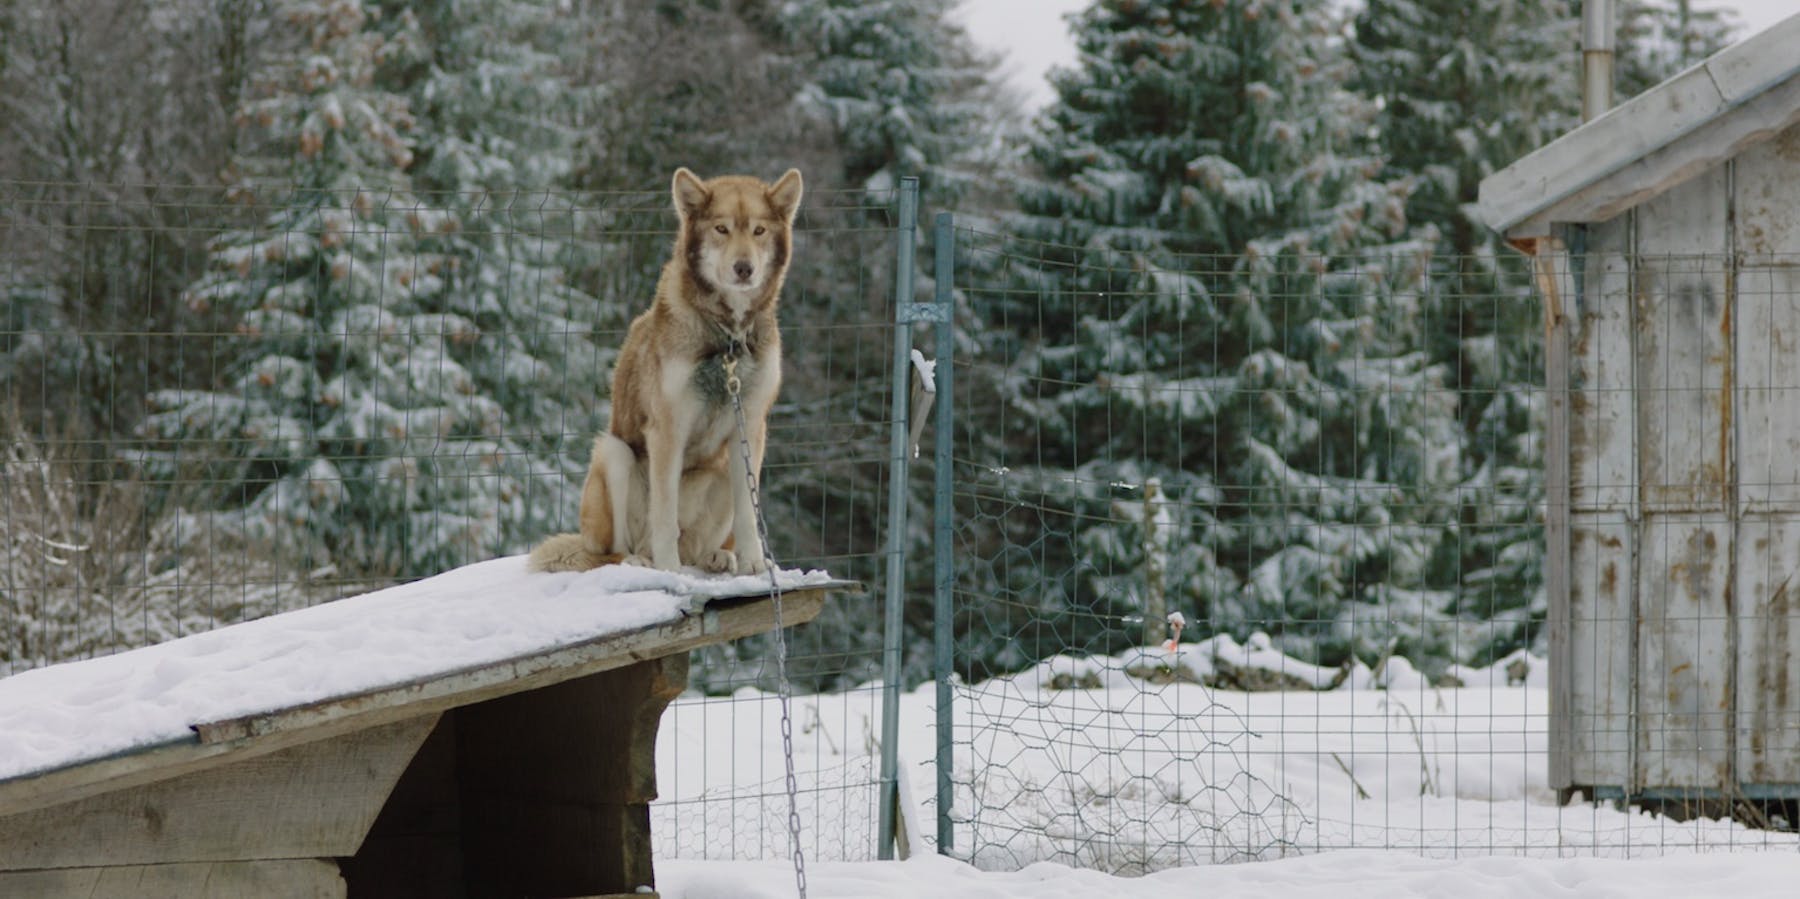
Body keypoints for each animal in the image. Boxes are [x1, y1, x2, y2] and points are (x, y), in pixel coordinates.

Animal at [525, 169, 799, 576]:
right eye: (721, 229)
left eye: (759, 231)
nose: (743, 268)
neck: (727, 338)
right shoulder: (668, 429)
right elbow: (665, 516)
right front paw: (670, 570)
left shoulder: (749, 427)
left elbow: (749, 513)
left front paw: (753, 562)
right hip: (614, 453)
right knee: (615, 551)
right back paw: (643, 560)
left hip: (720, 468)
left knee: (697, 545)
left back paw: (717, 556)